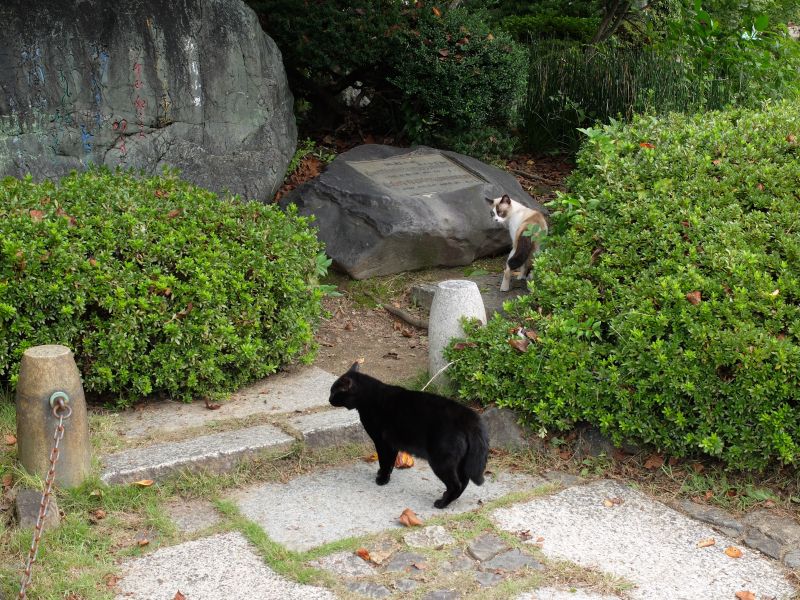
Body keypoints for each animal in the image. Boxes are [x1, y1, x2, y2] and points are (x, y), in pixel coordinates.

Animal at [329, 362, 489, 509]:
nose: (329, 399)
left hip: (441, 461)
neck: (369, 397)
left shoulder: (382, 442)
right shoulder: (392, 445)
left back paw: (441, 503)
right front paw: (385, 476)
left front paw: (382, 479)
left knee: (456, 484)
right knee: (464, 481)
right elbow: (390, 462)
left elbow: (384, 461)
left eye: (334, 392)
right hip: (460, 461)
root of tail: (467, 415)